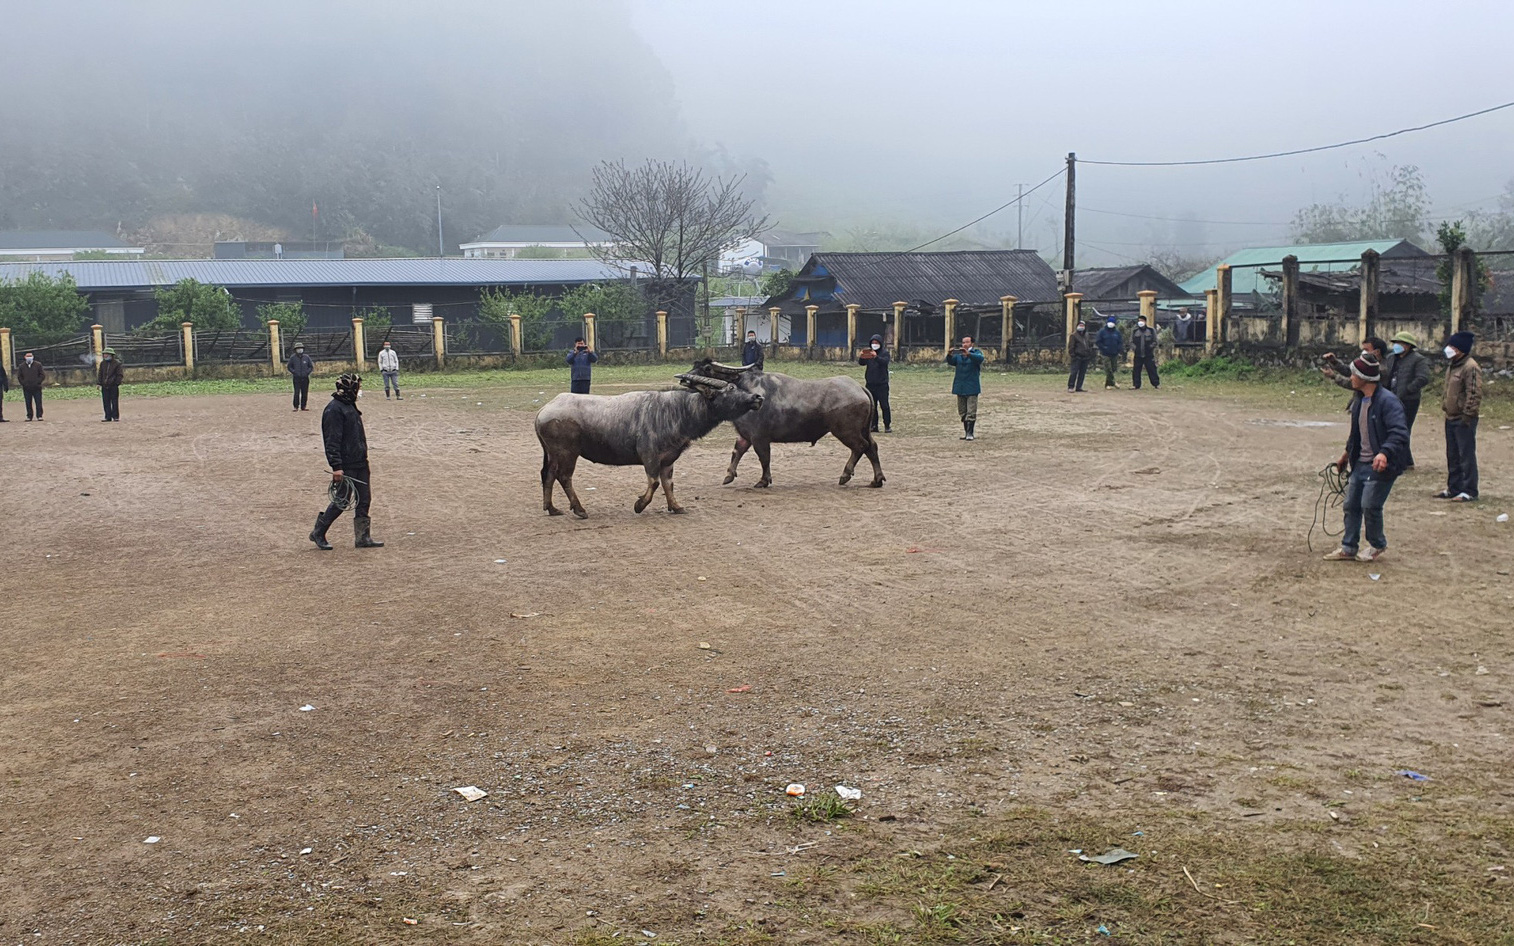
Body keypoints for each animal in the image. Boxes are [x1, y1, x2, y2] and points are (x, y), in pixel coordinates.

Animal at [535, 372, 769, 517]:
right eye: (730, 388)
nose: (757, 398)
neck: (676, 411)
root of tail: (544, 410)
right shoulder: (649, 456)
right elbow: (655, 483)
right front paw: (639, 505)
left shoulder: (668, 459)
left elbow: (668, 484)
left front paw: (676, 506)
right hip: (568, 452)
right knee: (564, 477)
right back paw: (579, 509)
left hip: (553, 454)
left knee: (548, 474)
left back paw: (551, 508)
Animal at [690, 354, 884, 487]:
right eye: (695, 365)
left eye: (707, 369)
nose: (686, 378)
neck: (746, 392)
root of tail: (859, 388)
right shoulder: (745, 436)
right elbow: (737, 452)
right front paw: (729, 476)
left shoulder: (759, 438)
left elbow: (764, 458)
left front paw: (763, 480)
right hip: (863, 429)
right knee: (872, 447)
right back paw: (877, 479)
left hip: (845, 431)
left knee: (861, 446)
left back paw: (845, 475)